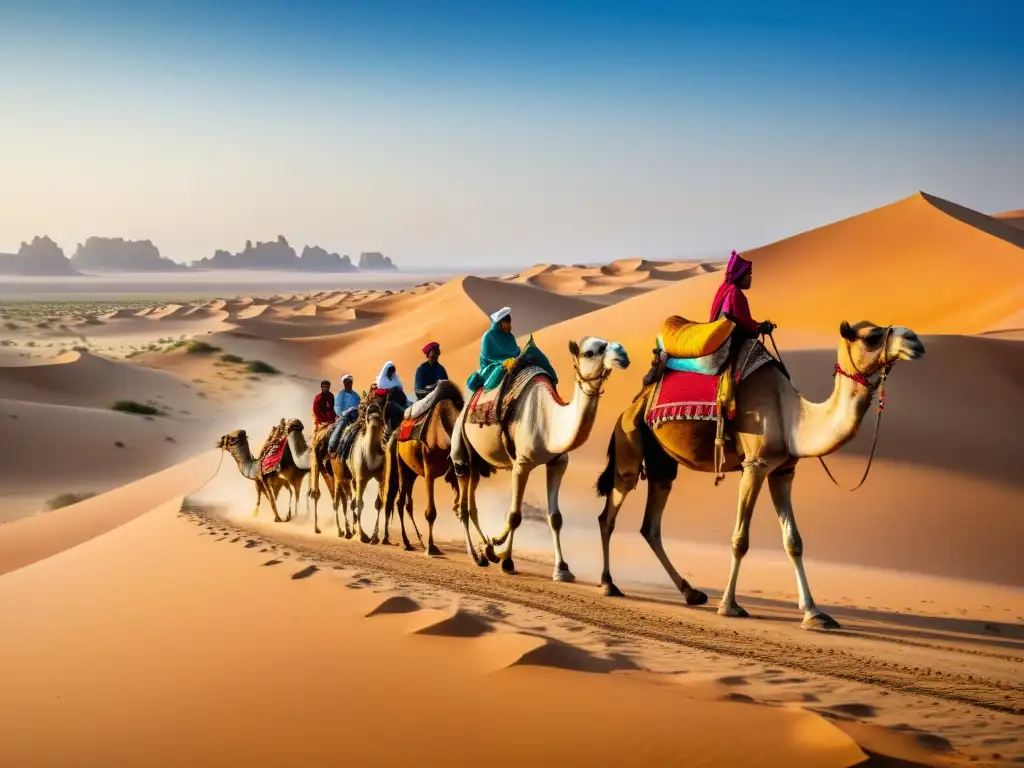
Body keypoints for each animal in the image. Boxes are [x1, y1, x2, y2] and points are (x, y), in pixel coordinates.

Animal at [307, 403, 387, 540]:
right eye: (369, 414)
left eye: (381, 414)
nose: (376, 416)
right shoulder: (360, 478)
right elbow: (359, 503)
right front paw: (362, 535)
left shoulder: (380, 477)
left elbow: (378, 503)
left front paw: (374, 537)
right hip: (331, 470)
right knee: (321, 494)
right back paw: (329, 530)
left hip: (339, 475)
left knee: (342, 499)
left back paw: (346, 531)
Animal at [380, 382, 464, 557]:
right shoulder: (429, 471)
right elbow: (431, 512)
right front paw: (431, 548)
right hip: (399, 466)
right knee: (396, 501)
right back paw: (403, 542)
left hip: (411, 473)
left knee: (405, 503)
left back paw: (415, 541)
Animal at [452, 335, 626, 577]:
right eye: (589, 352)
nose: (623, 354)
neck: (549, 422)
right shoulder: (522, 464)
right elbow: (514, 515)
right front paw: (505, 558)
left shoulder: (558, 463)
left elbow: (555, 518)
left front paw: (562, 569)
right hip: (460, 450)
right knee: (464, 505)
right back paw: (477, 555)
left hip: (478, 462)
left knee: (471, 501)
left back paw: (485, 551)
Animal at [598, 325, 925, 630]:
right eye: (872, 336)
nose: (915, 341)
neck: (792, 416)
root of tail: (628, 408)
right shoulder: (754, 466)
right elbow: (740, 539)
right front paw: (729, 606)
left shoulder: (782, 471)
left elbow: (794, 541)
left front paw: (814, 614)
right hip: (629, 447)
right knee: (609, 515)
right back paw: (609, 584)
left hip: (662, 465)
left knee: (650, 526)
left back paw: (691, 593)